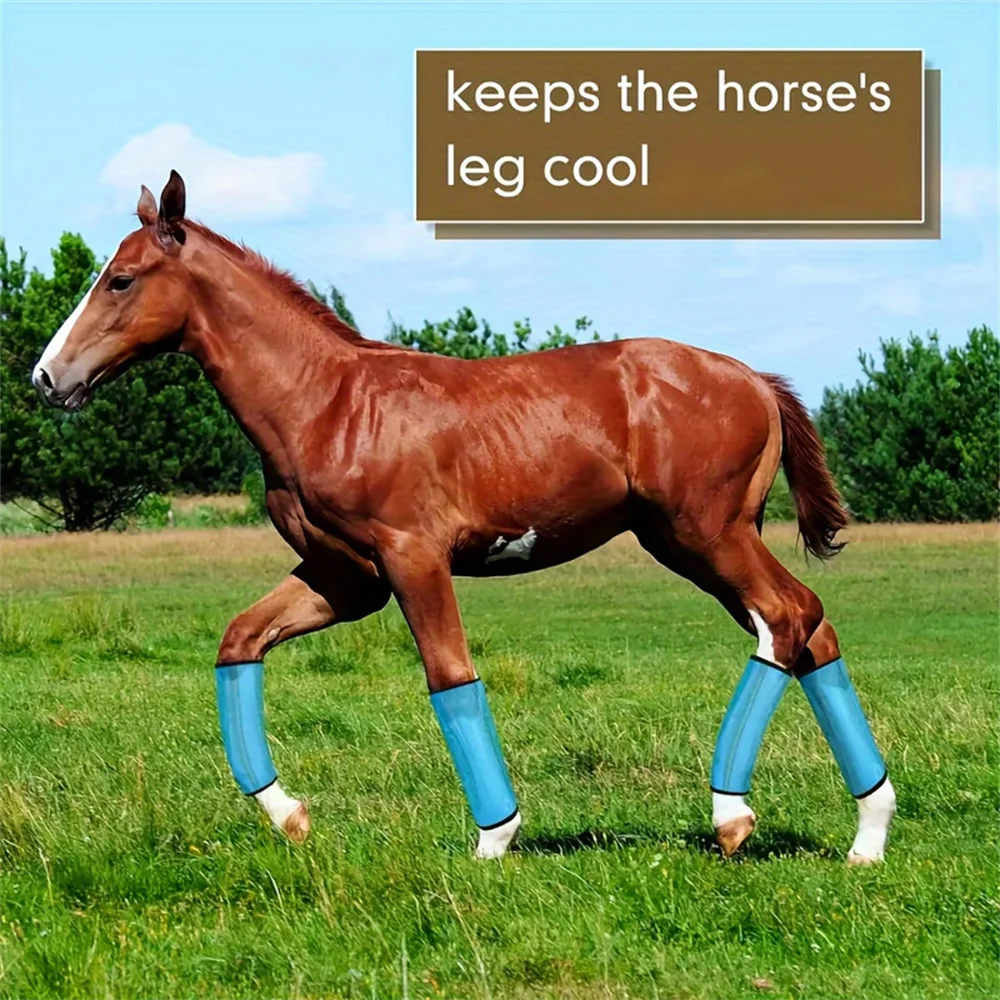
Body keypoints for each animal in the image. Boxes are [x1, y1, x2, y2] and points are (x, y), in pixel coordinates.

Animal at [32, 171, 896, 863]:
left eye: (121, 279)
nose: (47, 377)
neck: (328, 401)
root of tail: (755, 379)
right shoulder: (346, 577)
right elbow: (241, 640)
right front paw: (290, 817)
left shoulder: (412, 557)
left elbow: (451, 677)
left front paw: (494, 838)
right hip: (692, 543)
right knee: (809, 628)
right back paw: (867, 836)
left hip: (706, 534)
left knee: (786, 618)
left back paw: (733, 816)